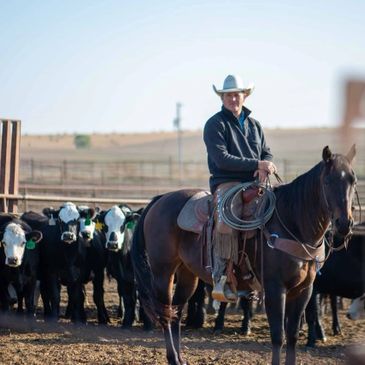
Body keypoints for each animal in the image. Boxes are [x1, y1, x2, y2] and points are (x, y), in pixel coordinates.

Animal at [131, 145, 356, 364]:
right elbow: (278, 336)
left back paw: (179, 359)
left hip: (187, 274)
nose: (344, 223)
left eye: (352, 181)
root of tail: (160, 199)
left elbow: (292, 336)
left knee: (176, 313)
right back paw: (172, 358)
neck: (293, 223)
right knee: (165, 313)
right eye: (328, 180)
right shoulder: (275, 288)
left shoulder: (303, 290)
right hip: (163, 272)